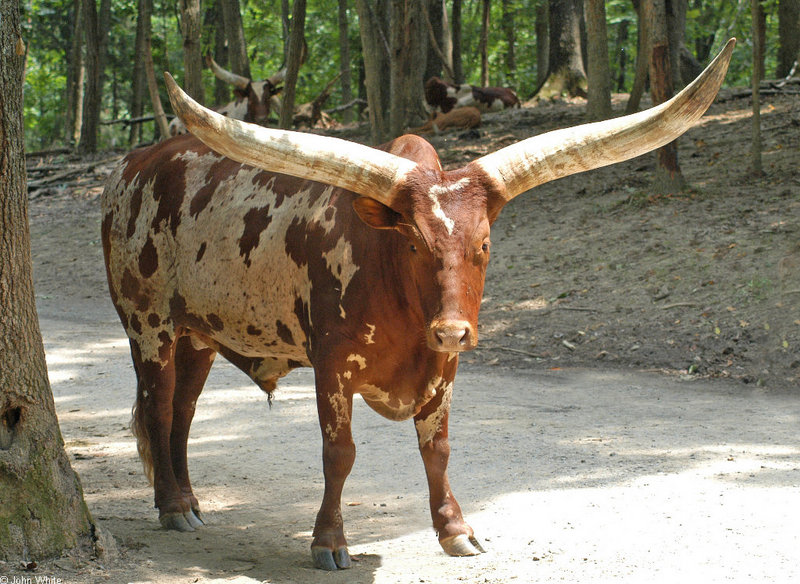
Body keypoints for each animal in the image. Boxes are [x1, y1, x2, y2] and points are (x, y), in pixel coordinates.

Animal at [101, 36, 736, 572]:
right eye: (412, 242)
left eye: (484, 242)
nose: (454, 329)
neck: (402, 305)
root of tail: (130, 167)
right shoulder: (332, 365)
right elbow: (339, 452)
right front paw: (329, 542)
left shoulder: (443, 367)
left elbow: (439, 448)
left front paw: (456, 531)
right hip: (147, 325)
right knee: (157, 408)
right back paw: (171, 506)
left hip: (199, 335)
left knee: (182, 412)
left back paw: (188, 500)